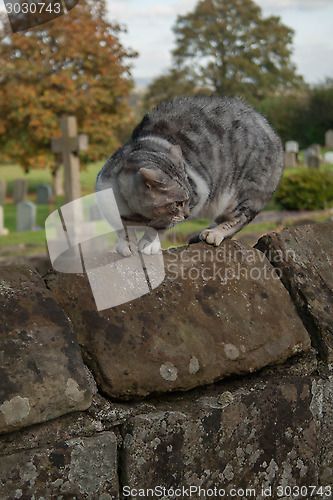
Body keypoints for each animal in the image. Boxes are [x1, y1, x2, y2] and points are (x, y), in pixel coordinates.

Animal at [94, 95, 282, 256]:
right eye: (178, 202)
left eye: (187, 200)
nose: (187, 215)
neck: (137, 216)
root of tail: (274, 134)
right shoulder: (106, 201)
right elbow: (121, 228)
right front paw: (126, 244)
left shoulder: (198, 193)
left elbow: (159, 226)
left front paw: (149, 243)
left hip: (245, 193)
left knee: (239, 219)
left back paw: (213, 234)